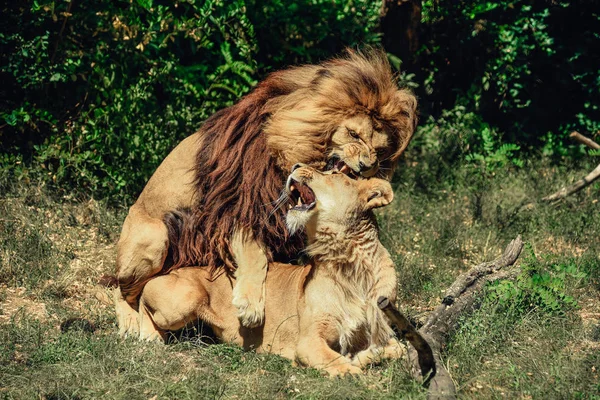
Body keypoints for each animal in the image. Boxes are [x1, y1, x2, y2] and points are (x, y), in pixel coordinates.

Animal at [116, 48, 418, 336]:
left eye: (379, 150)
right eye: (354, 135)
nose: (367, 166)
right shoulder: (241, 203)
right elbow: (254, 254)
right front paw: (250, 305)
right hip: (155, 238)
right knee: (122, 289)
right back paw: (130, 324)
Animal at [138, 165, 406, 376]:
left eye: (333, 174)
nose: (296, 165)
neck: (350, 264)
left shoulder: (382, 331)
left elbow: (397, 349)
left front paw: (360, 357)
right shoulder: (308, 341)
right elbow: (334, 359)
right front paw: (351, 370)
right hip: (185, 298)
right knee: (142, 297)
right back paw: (146, 334)